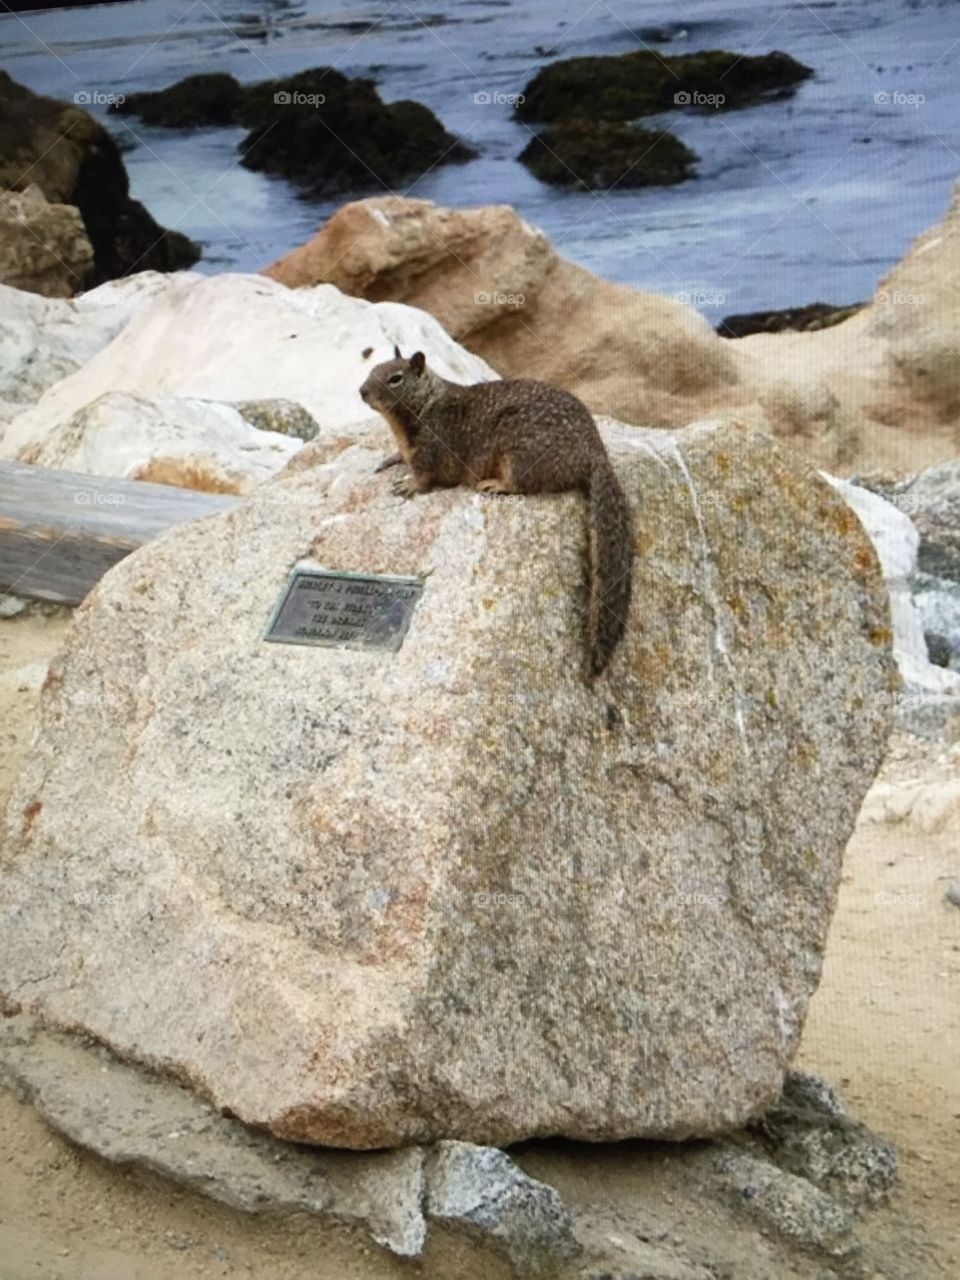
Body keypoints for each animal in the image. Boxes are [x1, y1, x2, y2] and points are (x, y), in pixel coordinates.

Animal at [359, 347, 633, 675]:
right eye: (373, 368)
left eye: (395, 378)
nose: (361, 392)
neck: (425, 404)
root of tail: (594, 452)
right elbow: (400, 456)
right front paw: (391, 458)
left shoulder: (431, 451)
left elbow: (424, 478)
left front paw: (409, 484)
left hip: (519, 454)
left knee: (523, 484)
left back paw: (496, 485)